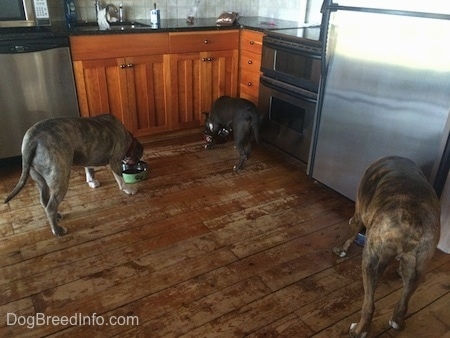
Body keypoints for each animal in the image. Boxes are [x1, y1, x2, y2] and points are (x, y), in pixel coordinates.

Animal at [3, 115, 143, 236]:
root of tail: (33, 139)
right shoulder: (115, 161)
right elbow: (121, 179)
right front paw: (128, 189)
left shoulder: (89, 157)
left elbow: (89, 170)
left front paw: (91, 182)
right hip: (61, 178)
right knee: (51, 207)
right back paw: (58, 231)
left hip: (40, 179)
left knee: (44, 200)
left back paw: (57, 217)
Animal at [332, 156, 442, 338]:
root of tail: (412, 221)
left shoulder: (359, 212)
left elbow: (351, 230)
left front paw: (340, 249)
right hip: (421, 265)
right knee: (404, 300)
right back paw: (397, 321)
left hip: (370, 259)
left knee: (369, 305)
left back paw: (359, 331)